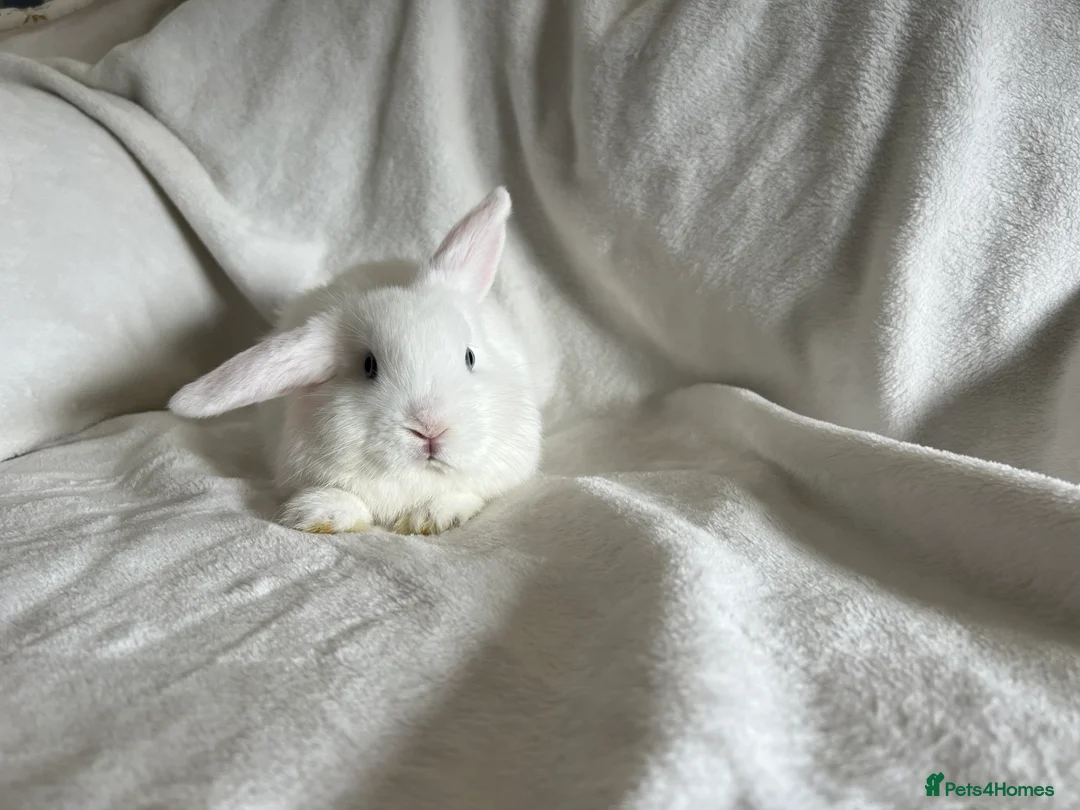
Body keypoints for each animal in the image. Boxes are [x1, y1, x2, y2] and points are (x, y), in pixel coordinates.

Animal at [168, 187, 545, 536]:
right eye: (368, 366)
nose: (430, 428)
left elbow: (464, 491)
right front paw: (318, 514)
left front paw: (432, 516)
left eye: (470, 356)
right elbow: (343, 497)